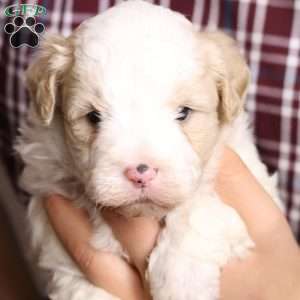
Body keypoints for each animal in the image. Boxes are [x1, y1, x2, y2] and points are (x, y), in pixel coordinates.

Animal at [15, 1, 280, 298]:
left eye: (184, 112)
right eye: (93, 117)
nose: (140, 172)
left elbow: (200, 207)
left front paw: (181, 280)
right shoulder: (51, 204)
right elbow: (75, 279)